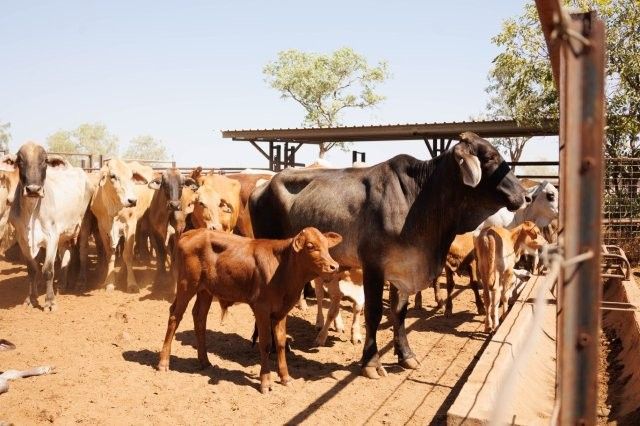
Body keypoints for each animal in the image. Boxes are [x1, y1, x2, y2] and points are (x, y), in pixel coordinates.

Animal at [0, 143, 94, 311]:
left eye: (44, 161)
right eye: (20, 161)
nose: (33, 189)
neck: (32, 213)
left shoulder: (51, 237)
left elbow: (48, 270)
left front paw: (50, 301)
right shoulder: (23, 240)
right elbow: (32, 269)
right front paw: (31, 299)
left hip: (84, 225)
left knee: (82, 253)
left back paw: (81, 282)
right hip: (64, 234)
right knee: (66, 254)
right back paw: (63, 283)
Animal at [90, 159, 155, 292]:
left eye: (131, 177)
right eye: (113, 176)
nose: (132, 201)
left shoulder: (130, 224)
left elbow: (128, 254)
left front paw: (132, 284)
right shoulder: (102, 227)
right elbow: (110, 253)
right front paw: (109, 282)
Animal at [157, 227, 342, 394]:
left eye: (327, 246)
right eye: (310, 246)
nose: (334, 266)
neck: (282, 268)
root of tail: (191, 232)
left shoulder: (281, 312)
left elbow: (281, 343)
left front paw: (285, 378)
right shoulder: (261, 308)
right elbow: (266, 343)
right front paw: (265, 382)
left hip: (205, 290)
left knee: (199, 317)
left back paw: (204, 361)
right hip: (187, 284)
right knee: (174, 317)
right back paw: (163, 362)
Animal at [249, 132, 527, 378]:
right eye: (490, 157)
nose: (524, 195)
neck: (419, 200)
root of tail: (263, 184)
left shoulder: (403, 268)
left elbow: (399, 312)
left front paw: (406, 355)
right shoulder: (374, 266)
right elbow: (374, 313)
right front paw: (371, 363)